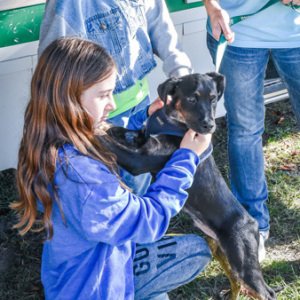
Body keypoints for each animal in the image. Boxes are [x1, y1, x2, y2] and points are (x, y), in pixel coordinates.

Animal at [99, 72, 278, 300]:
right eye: (192, 99)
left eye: (213, 100)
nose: (210, 126)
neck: (172, 121)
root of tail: (253, 223)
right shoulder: (139, 139)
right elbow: (123, 131)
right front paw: (105, 126)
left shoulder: (139, 160)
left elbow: (110, 144)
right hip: (220, 251)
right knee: (236, 282)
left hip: (243, 260)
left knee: (265, 292)